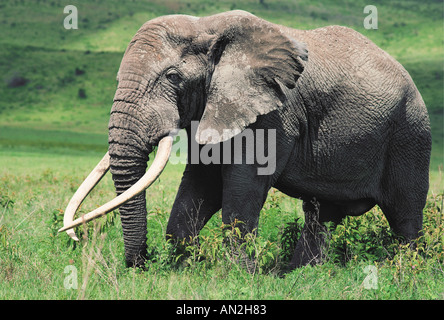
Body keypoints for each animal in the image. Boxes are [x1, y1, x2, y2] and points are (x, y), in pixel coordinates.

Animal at [59, 9, 430, 270]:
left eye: (173, 77)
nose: (140, 264)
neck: (205, 26)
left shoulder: (275, 114)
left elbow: (241, 190)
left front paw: (239, 277)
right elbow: (200, 185)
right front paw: (183, 269)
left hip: (411, 133)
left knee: (405, 216)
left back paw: (408, 271)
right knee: (322, 214)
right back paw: (300, 275)